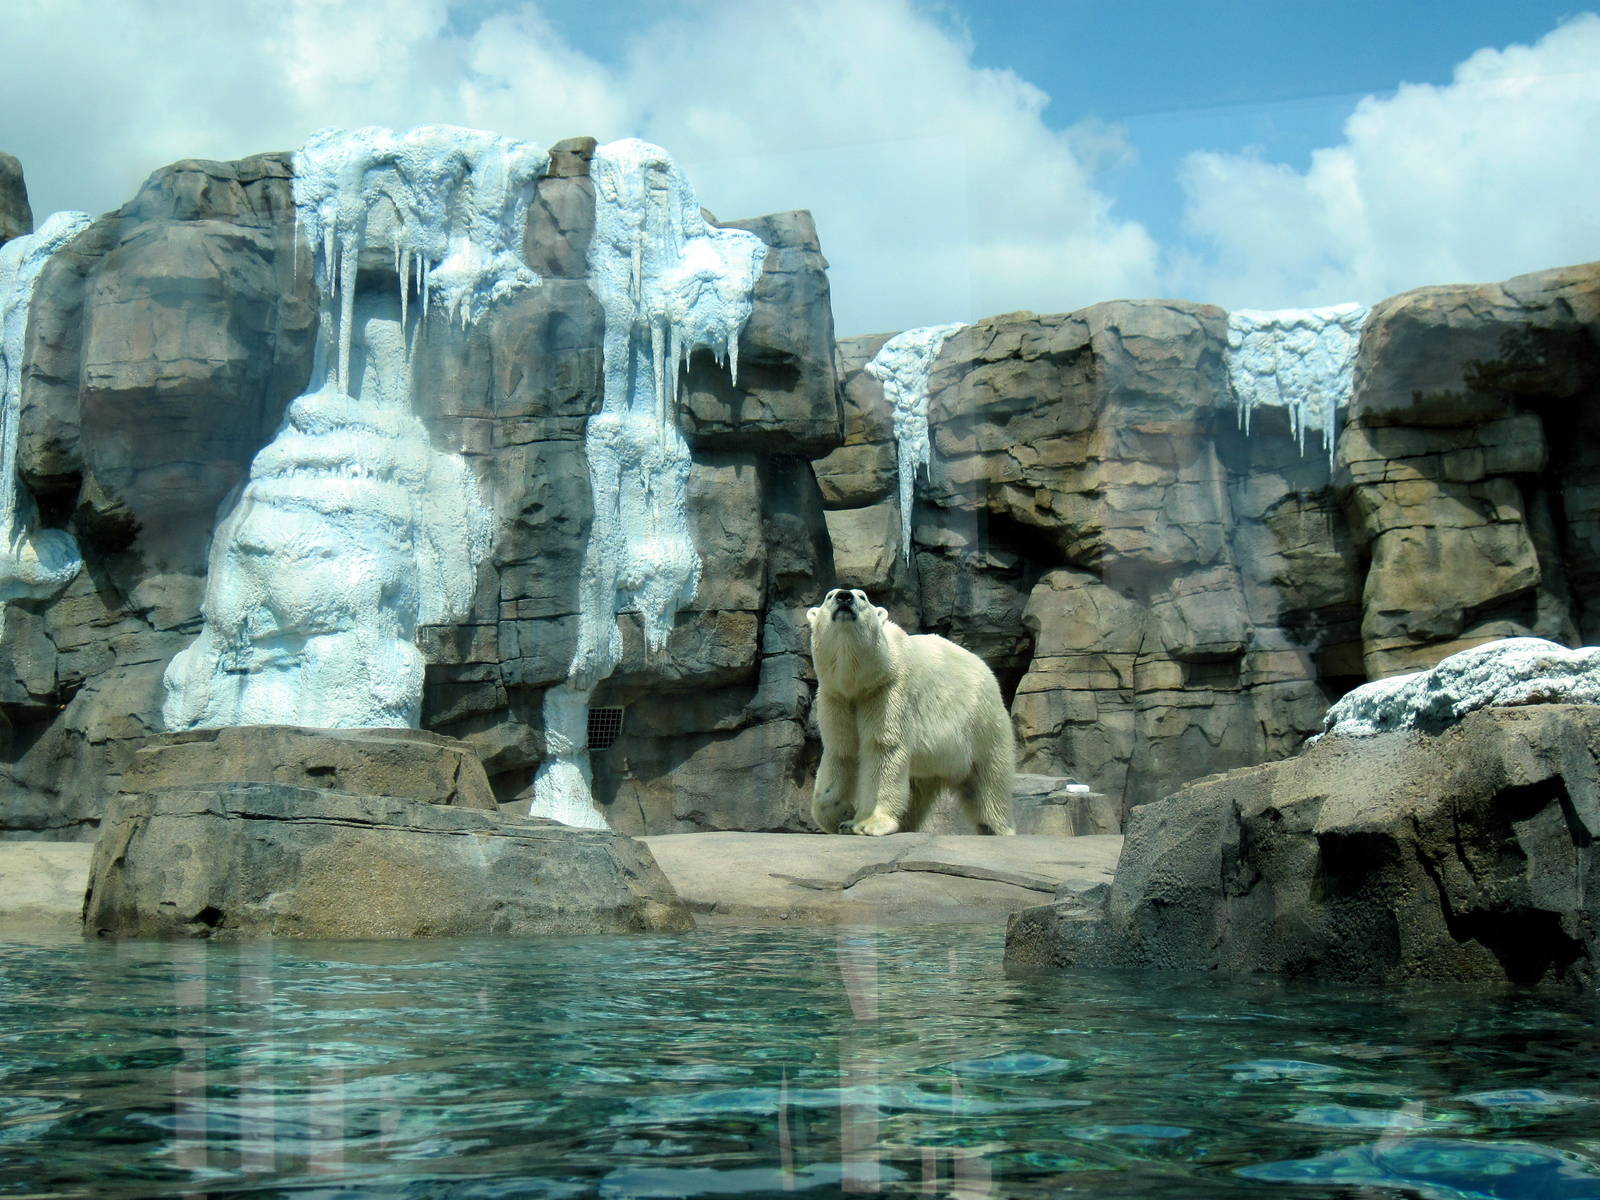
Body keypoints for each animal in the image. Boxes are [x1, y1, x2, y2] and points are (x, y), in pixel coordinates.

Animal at [806, 587, 1015, 836]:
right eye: (830, 596)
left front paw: (869, 823)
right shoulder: (836, 697)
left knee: (989, 780)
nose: (845, 596)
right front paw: (842, 817)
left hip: (982, 723)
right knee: (917, 791)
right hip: (931, 762)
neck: (858, 682)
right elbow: (841, 751)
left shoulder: (889, 691)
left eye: (863, 596)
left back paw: (996, 829)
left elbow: (884, 749)